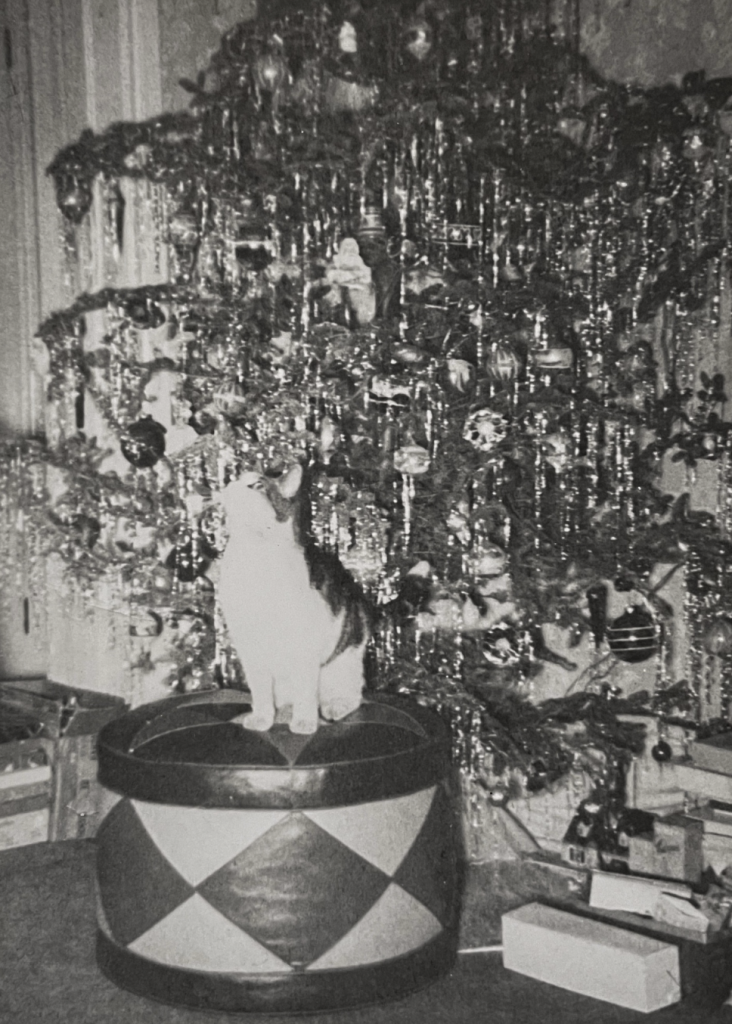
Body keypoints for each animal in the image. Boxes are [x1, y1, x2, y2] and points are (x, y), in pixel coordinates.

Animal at [214, 464, 368, 737]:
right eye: (235, 480)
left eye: (258, 485)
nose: (229, 487)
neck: (251, 551)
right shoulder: (251, 650)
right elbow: (261, 694)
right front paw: (262, 719)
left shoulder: (303, 650)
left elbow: (305, 694)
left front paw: (304, 723)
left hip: (343, 665)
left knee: (352, 696)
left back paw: (332, 707)